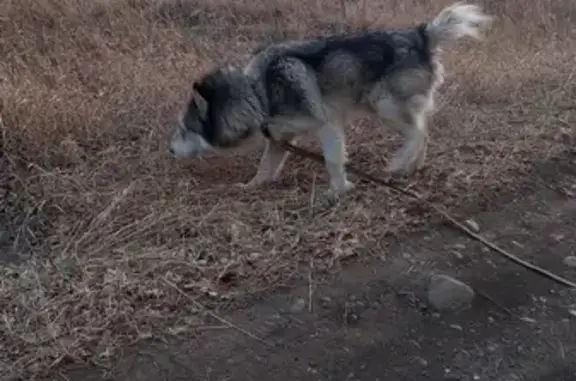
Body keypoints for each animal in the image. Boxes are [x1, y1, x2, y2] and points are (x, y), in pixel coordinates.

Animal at [169, 3, 492, 196]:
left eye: (184, 129)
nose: (169, 150)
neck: (258, 95)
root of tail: (421, 34)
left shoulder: (327, 124)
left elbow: (333, 160)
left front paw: (339, 191)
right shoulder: (280, 140)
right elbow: (265, 168)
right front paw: (251, 186)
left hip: (382, 105)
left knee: (419, 132)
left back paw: (398, 163)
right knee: (423, 131)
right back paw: (412, 166)